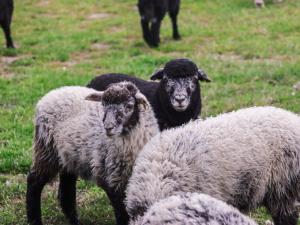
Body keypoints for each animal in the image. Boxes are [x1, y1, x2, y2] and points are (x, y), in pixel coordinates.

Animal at [25, 81, 159, 225]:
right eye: (103, 104)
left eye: (129, 106)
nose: (108, 127)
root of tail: (51, 94)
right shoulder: (110, 178)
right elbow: (122, 214)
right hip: (46, 148)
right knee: (34, 181)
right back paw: (34, 220)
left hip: (69, 156)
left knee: (66, 190)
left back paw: (74, 221)